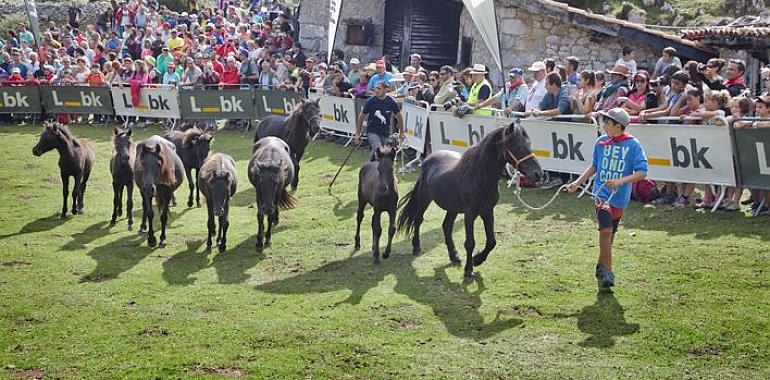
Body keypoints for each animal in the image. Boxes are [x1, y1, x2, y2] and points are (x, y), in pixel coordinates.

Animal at [400, 121, 544, 282]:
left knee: (446, 226)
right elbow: (470, 243)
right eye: (517, 146)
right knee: (418, 220)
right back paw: (416, 247)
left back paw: (454, 256)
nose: (538, 174)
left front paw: (477, 260)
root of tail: (427, 159)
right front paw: (469, 270)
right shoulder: (470, 214)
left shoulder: (488, 212)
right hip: (425, 198)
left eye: (529, 144)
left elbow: (492, 241)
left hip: (452, 208)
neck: (480, 177)